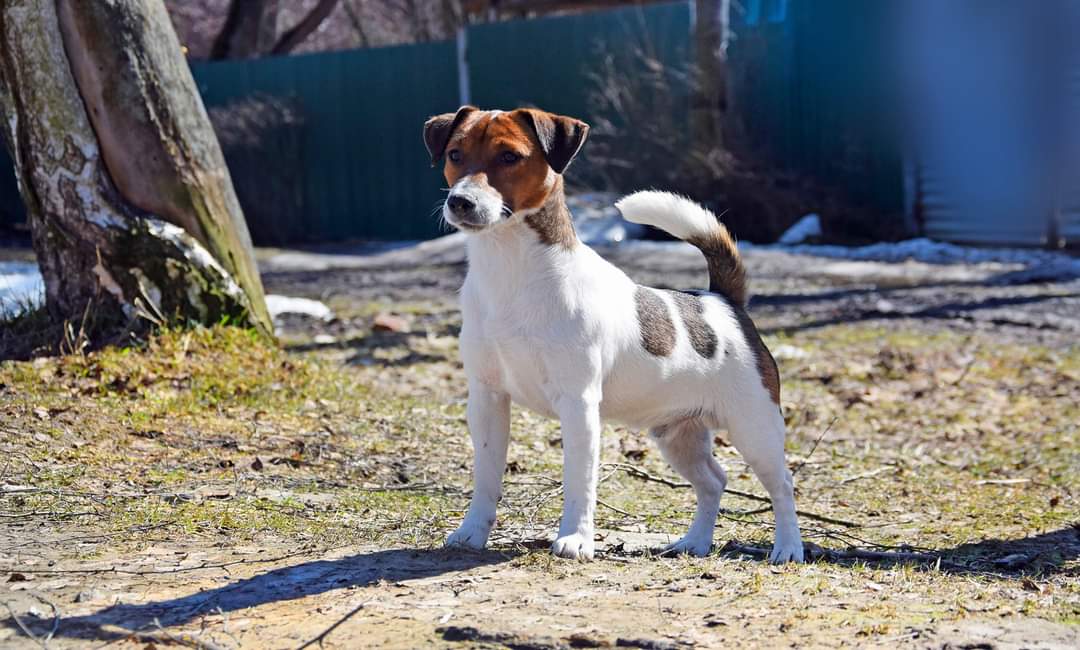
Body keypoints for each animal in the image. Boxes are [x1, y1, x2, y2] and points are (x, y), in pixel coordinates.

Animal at [421, 106, 803, 561]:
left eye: (509, 157)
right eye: (455, 154)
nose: (460, 201)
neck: (510, 269)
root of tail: (723, 301)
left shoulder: (579, 403)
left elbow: (579, 480)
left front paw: (576, 539)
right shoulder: (487, 398)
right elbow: (486, 475)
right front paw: (473, 531)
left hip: (754, 429)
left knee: (783, 487)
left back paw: (788, 548)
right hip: (679, 435)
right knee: (714, 480)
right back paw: (694, 542)